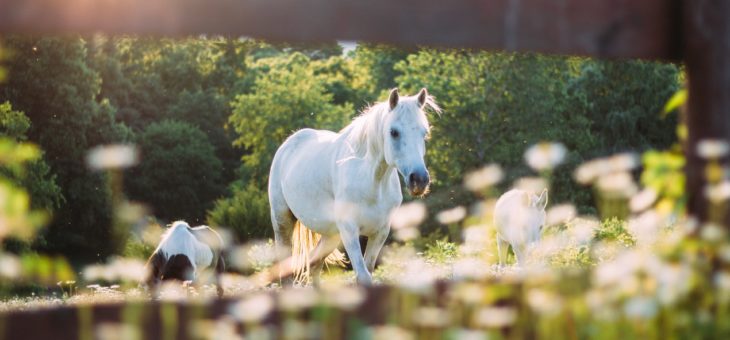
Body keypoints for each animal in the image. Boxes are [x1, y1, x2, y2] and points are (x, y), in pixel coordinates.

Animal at [268, 88, 438, 284]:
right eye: (394, 132)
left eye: (424, 133)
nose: (419, 180)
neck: (372, 183)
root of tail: (288, 144)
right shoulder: (349, 231)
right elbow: (363, 276)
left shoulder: (380, 232)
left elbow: (368, 271)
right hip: (282, 222)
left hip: (331, 235)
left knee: (315, 264)